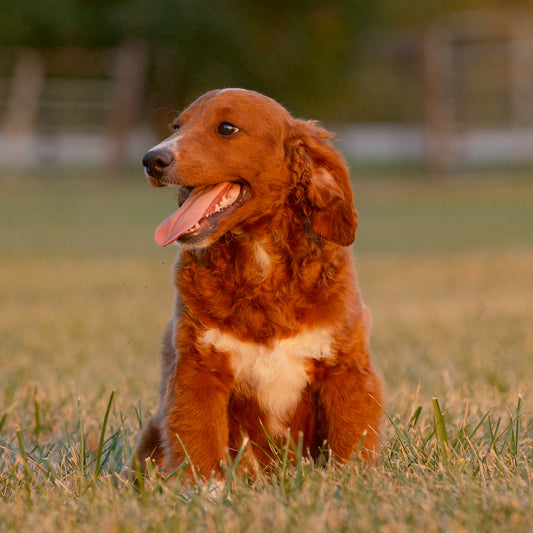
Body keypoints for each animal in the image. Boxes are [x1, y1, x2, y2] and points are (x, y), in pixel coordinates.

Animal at [137, 87, 382, 478]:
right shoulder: (196, 370)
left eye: (226, 128)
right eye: (177, 126)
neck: (260, 262)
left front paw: (352, 483)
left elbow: (350, 441)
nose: (151, 159)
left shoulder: (347, 368)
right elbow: (200, 447)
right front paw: (206, 490)